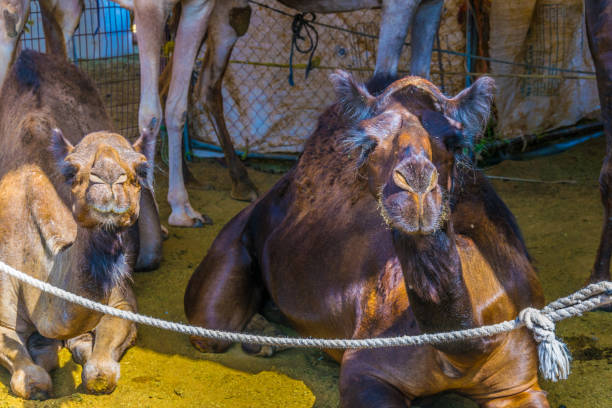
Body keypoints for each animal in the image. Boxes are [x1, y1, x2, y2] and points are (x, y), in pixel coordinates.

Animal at [0, 50, 160, 398]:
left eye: (141, 169)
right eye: (72, 170)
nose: (108, 178)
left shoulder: (122, 300)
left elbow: (99, 373)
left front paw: (80, 346)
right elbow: (32, 379)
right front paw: (45, 354)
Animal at [183, 71, 548, 406]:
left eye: (455, 143)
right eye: (369, 143)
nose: (416, 187)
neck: (463, 351)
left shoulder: (517, 384)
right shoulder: (367, 368)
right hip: (239, 233)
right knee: (211, 329)